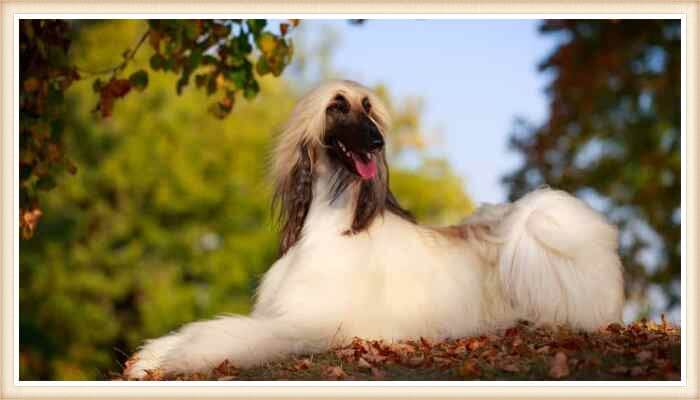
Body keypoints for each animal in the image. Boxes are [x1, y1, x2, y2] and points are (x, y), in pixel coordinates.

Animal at [124, 79, 624, 380]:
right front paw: (150, 355)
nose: (379, 141)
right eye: (337, 106)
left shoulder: (310, 324)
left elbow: (226, 334)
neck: (333, 223)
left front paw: (179, 356)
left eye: (369, 109)